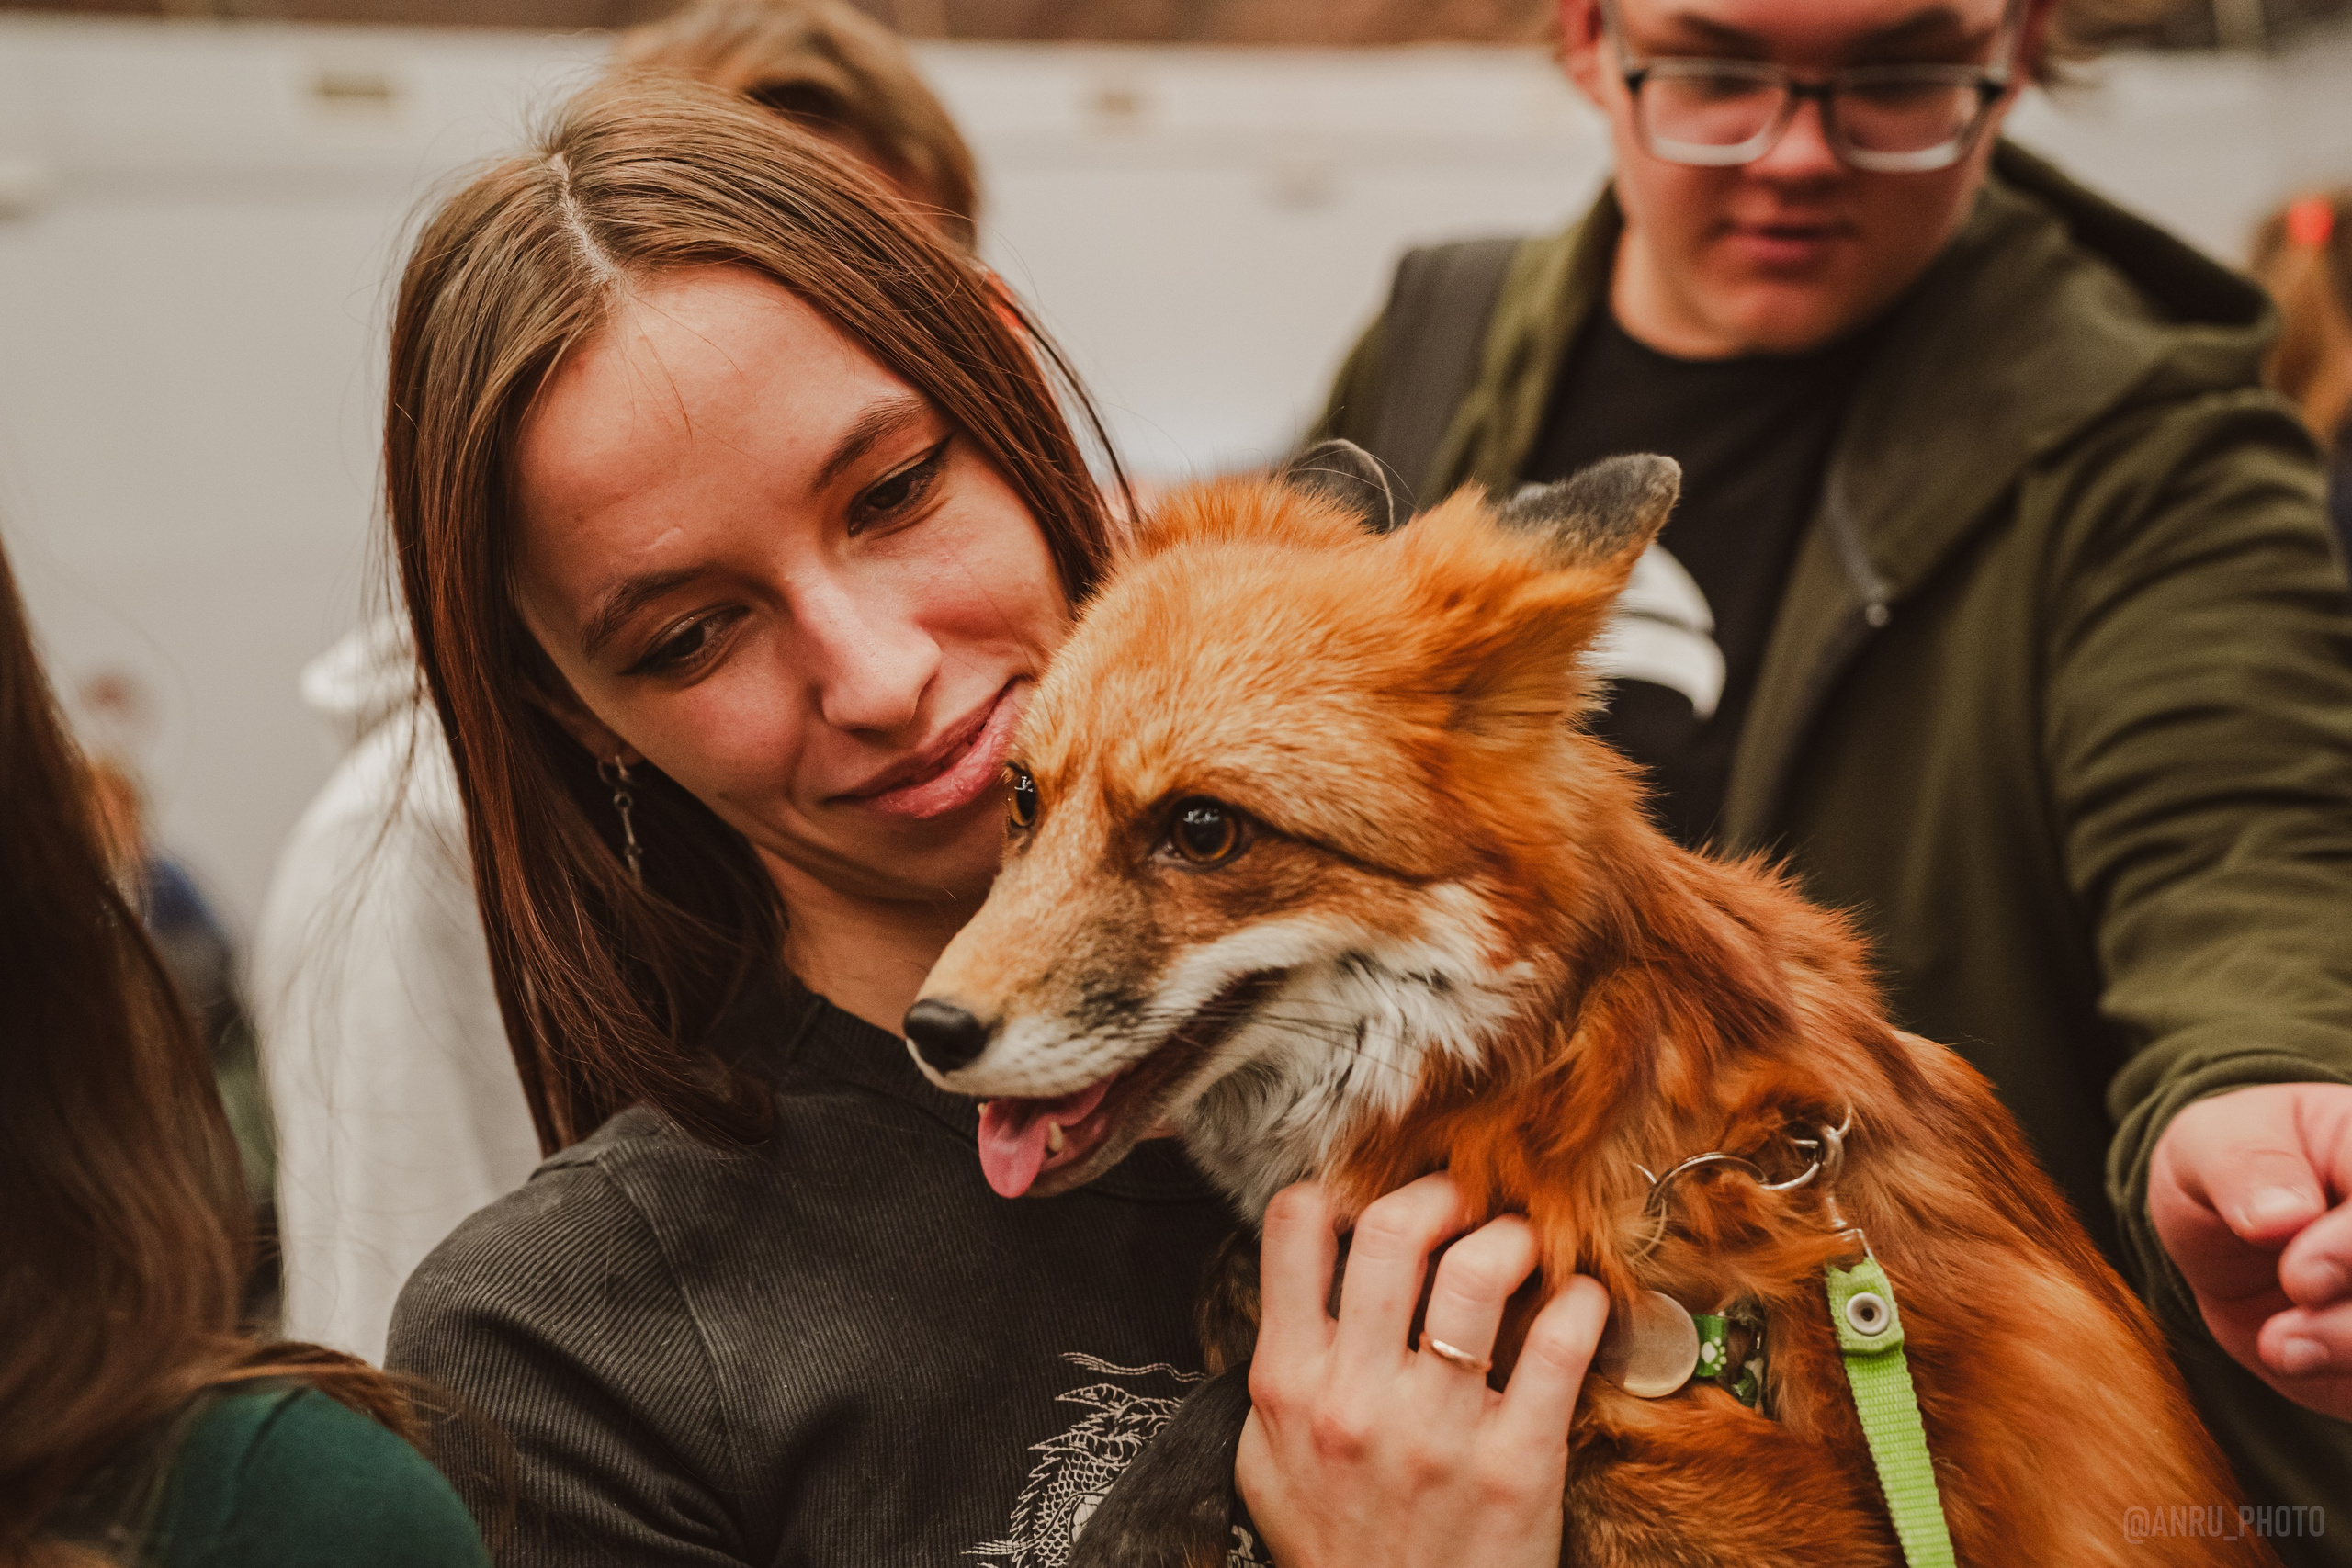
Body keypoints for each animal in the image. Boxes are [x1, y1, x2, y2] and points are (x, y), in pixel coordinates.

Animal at [904, 442, 2270, 1567]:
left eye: (1201, 829)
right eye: (1021, 798)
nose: (935, 1031)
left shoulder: (1760, 1502)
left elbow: (1275, 1358)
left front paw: (1146, 1505)